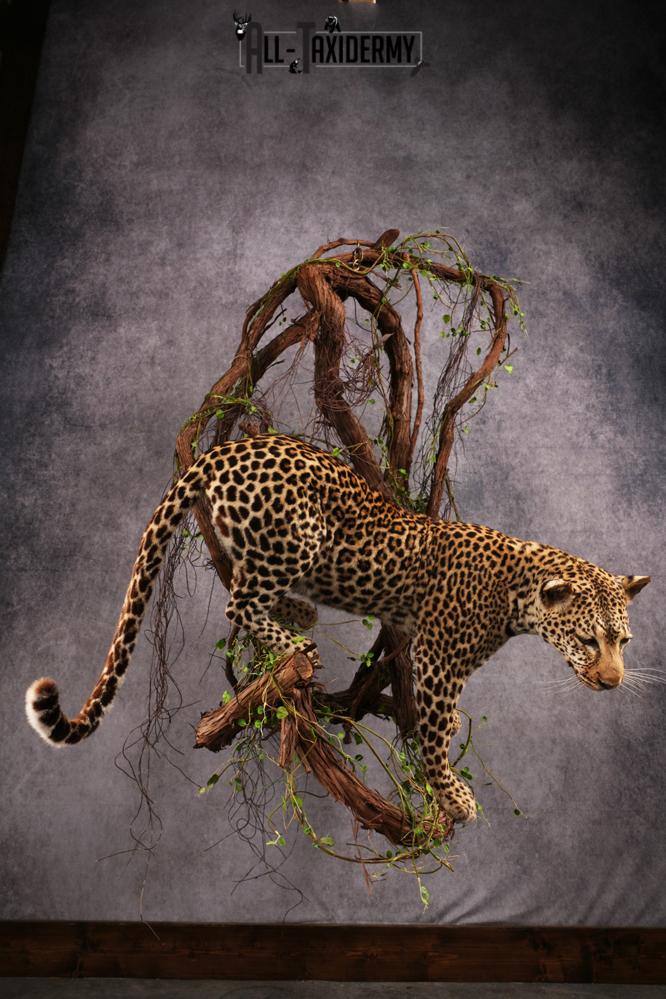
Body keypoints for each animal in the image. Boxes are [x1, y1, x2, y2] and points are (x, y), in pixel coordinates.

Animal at [26, 433, 650, 823]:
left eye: (621, 641)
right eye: (588, 640)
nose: (614, 682)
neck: (520, 597)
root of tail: (225, 448)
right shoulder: (439, 661)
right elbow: (436, 733)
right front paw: (453, 796)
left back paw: (298, 614)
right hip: (298, 536)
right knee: (237, 604)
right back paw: (296, 640)